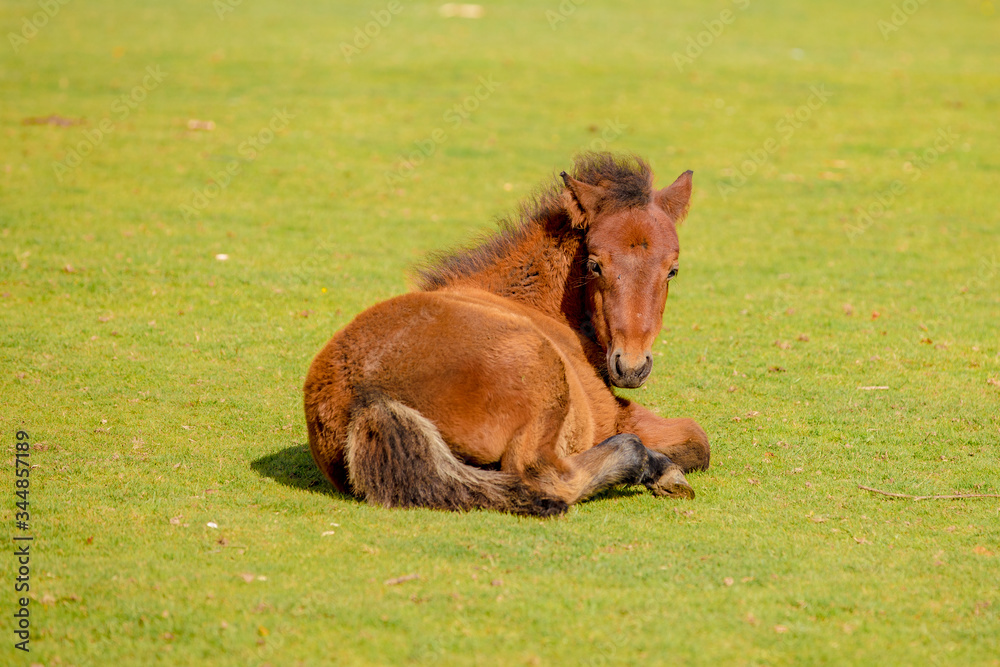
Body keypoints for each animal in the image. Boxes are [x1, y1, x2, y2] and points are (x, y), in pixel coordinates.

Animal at [303, 153, 710, 516]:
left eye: (672, 270)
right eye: (595, 265)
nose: (632, 367)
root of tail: (365, 394)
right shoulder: (613, 413)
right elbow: (697, 440)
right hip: (544, 376)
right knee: (548, 475)